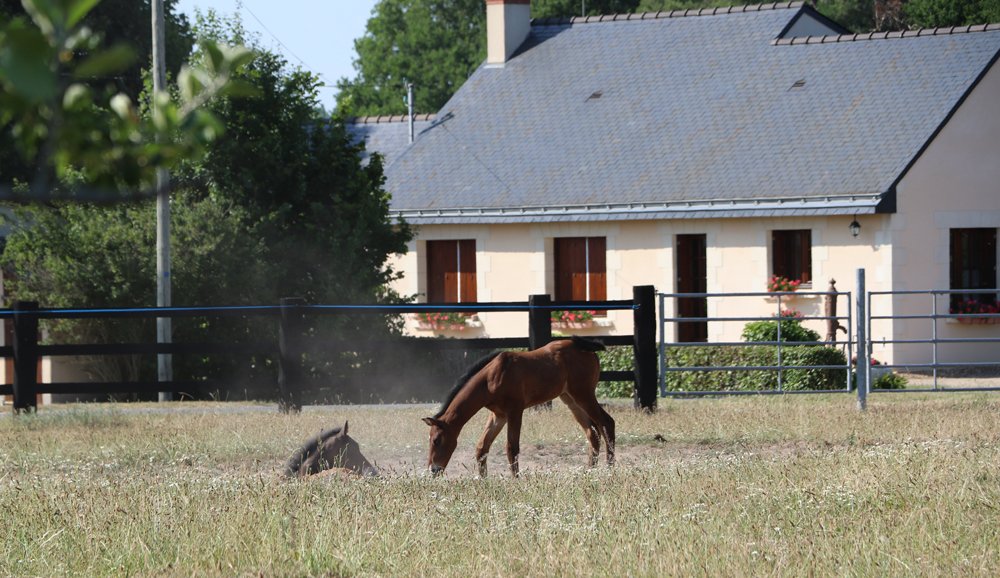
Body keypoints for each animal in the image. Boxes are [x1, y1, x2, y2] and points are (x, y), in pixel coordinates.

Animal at [422, 336, 615, 477]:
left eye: (436, 440)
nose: (433, 470)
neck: (492, 378)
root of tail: (586, 348)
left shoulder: (515, 411)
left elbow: (511, 448)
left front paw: (516, 480)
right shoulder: (498, 415)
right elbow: (482, 447)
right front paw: (483, 480)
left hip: (584, 395)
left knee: (607, 423)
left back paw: (609, 469)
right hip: (571, 400)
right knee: (592, 433)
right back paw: (589, 471)